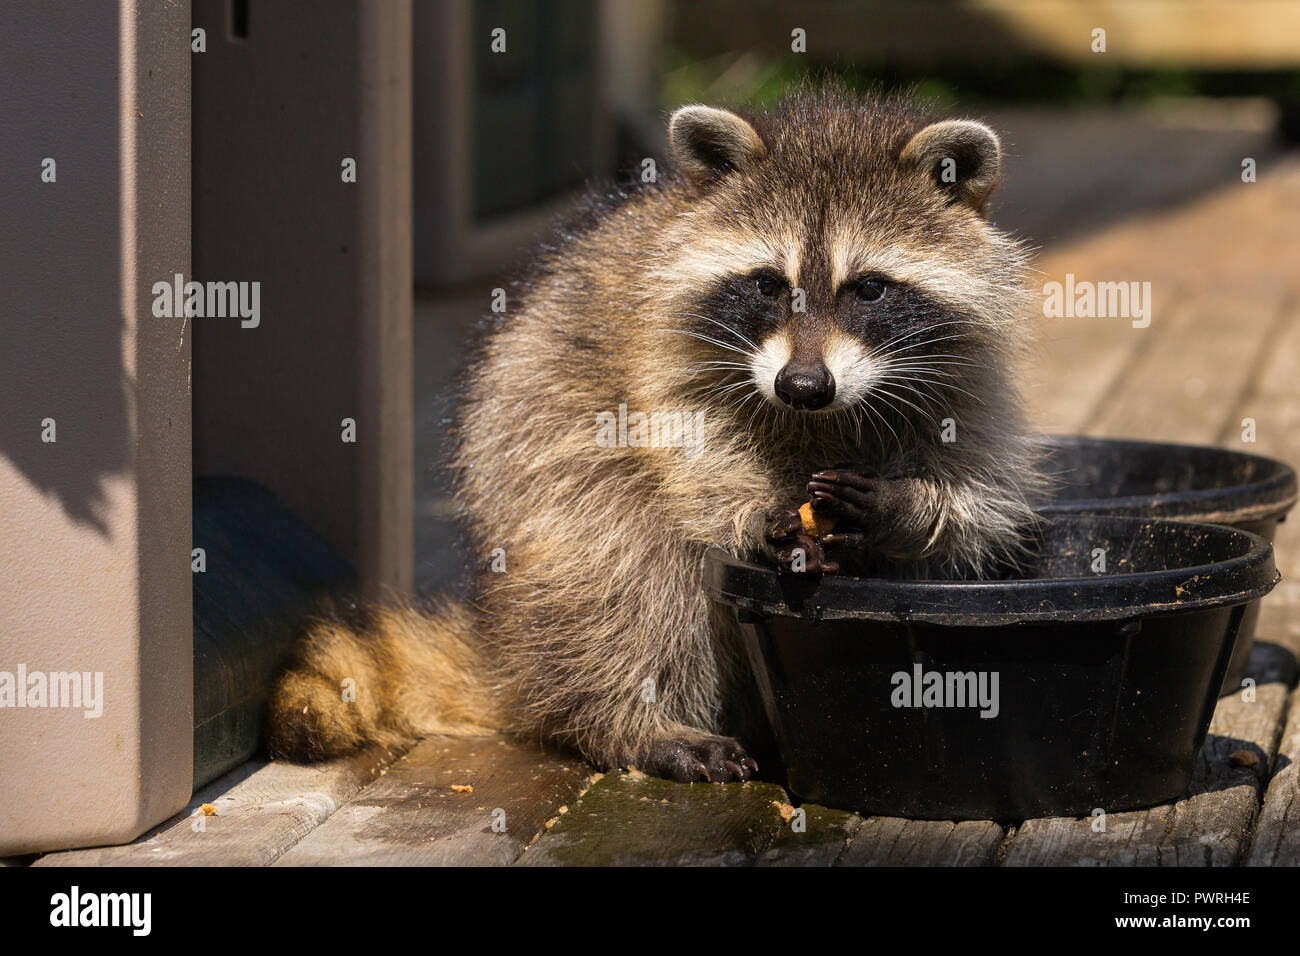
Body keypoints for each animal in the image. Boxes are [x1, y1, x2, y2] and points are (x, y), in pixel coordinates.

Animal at [271, 89, 1045, 780]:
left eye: (871, 288)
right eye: (768, 284)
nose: (801, 386)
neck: (821, 419)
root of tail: (504, 646)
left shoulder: (966, 378)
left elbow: (977, 498)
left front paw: (906, 506)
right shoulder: (660, 350)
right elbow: (681, 451)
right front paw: (750, 513)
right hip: (533, 463)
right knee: (624, 564)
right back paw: (631, 722)